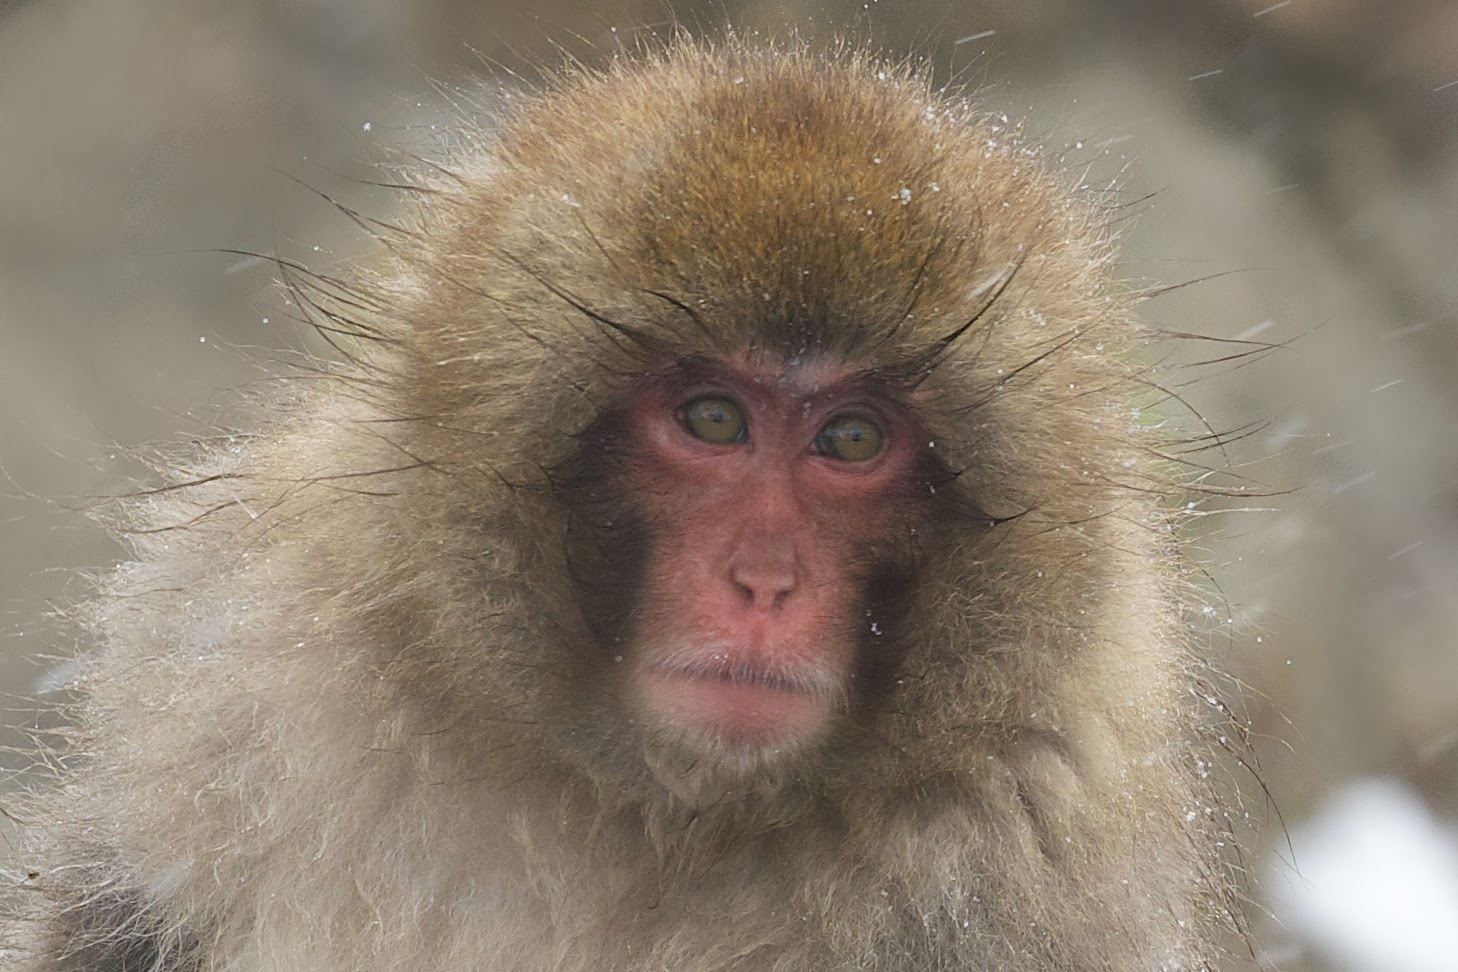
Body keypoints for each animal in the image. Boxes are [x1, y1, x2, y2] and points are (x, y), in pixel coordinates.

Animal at [4, 38, 1237, 972]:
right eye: (713, 419)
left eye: (850, 439)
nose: (763, 581)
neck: (655, 809)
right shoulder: (228, 675)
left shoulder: (1034, 849)